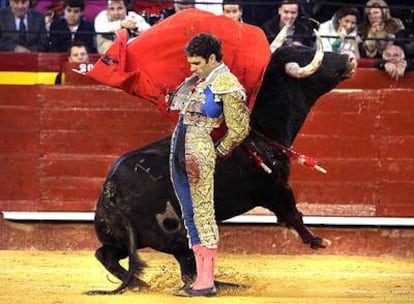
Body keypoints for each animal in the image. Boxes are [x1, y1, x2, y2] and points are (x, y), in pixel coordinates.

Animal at [89, 45, 354, 294]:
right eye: (312, 57)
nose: (349, 58)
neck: (260, 129)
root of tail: (111, 186)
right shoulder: (277, 188)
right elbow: (293, 214)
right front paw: (318, 241)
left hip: (122, 237)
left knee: (106, 255)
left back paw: (140, 283)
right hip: (173, 235)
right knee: (187, 267)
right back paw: (222, 285)